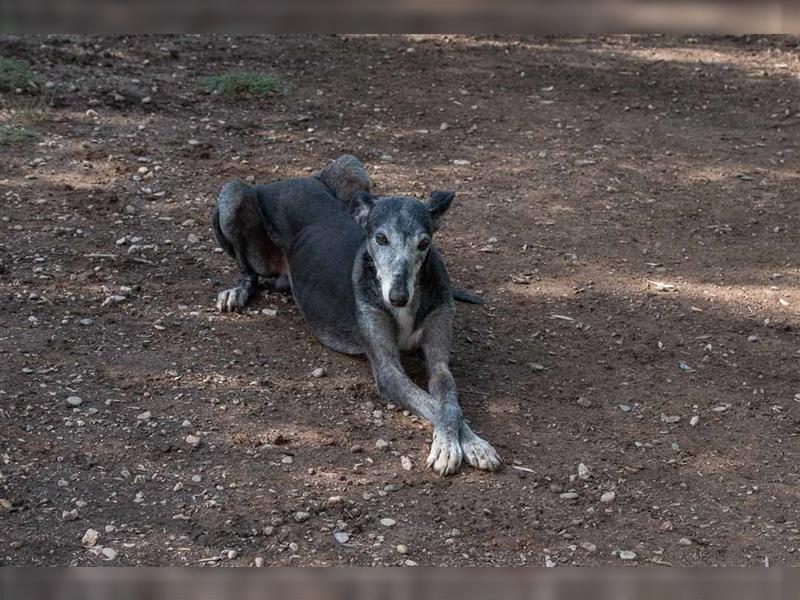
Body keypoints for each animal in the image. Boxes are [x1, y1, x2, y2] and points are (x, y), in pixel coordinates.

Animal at [212, 157, 500, 476]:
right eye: (381, 238)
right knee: (247, 269)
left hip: (353, 167)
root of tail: (291, 180)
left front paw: (472, 444)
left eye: (424, 244)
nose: (397, 297)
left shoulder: (438, 360)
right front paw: (449, 447)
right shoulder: (387, 370)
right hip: (232, 197)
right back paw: (237, 291)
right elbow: (432, 404)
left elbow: (449, 404)